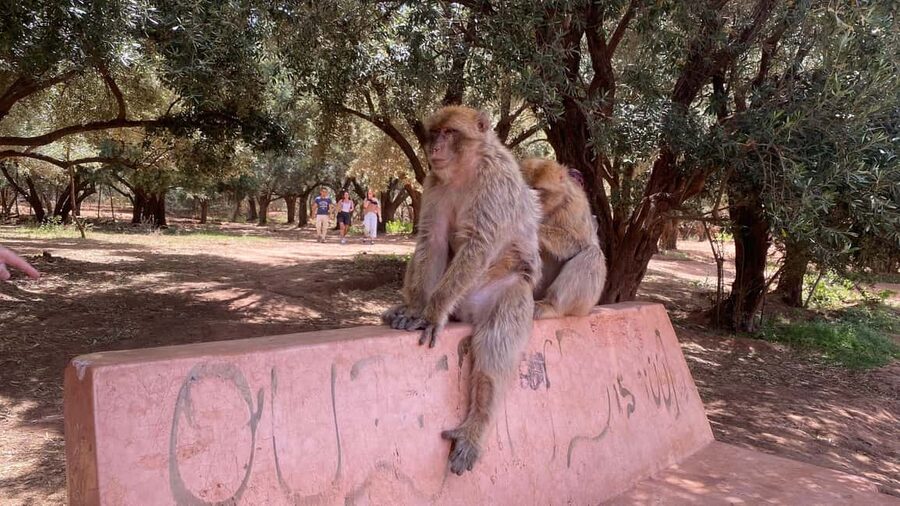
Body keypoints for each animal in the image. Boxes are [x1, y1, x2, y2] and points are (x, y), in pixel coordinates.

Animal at [382, 106, 541, 475]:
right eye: (434, 132)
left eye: (450, 133)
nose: (434, 147)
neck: (465, 170)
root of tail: (464, 309)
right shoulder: (434, 182)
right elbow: (433, 240)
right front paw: (419, 310)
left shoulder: (496, 183)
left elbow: (479, 245)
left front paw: (433, 313)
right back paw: (408, 306)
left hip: (496, 292)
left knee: (497, 344)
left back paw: (475, 427)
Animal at [519, 158, 607, 319]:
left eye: (538, 190)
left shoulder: (574, 203)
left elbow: (579, 242)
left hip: (583, 305)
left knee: (593, 254)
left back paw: (552, 306)